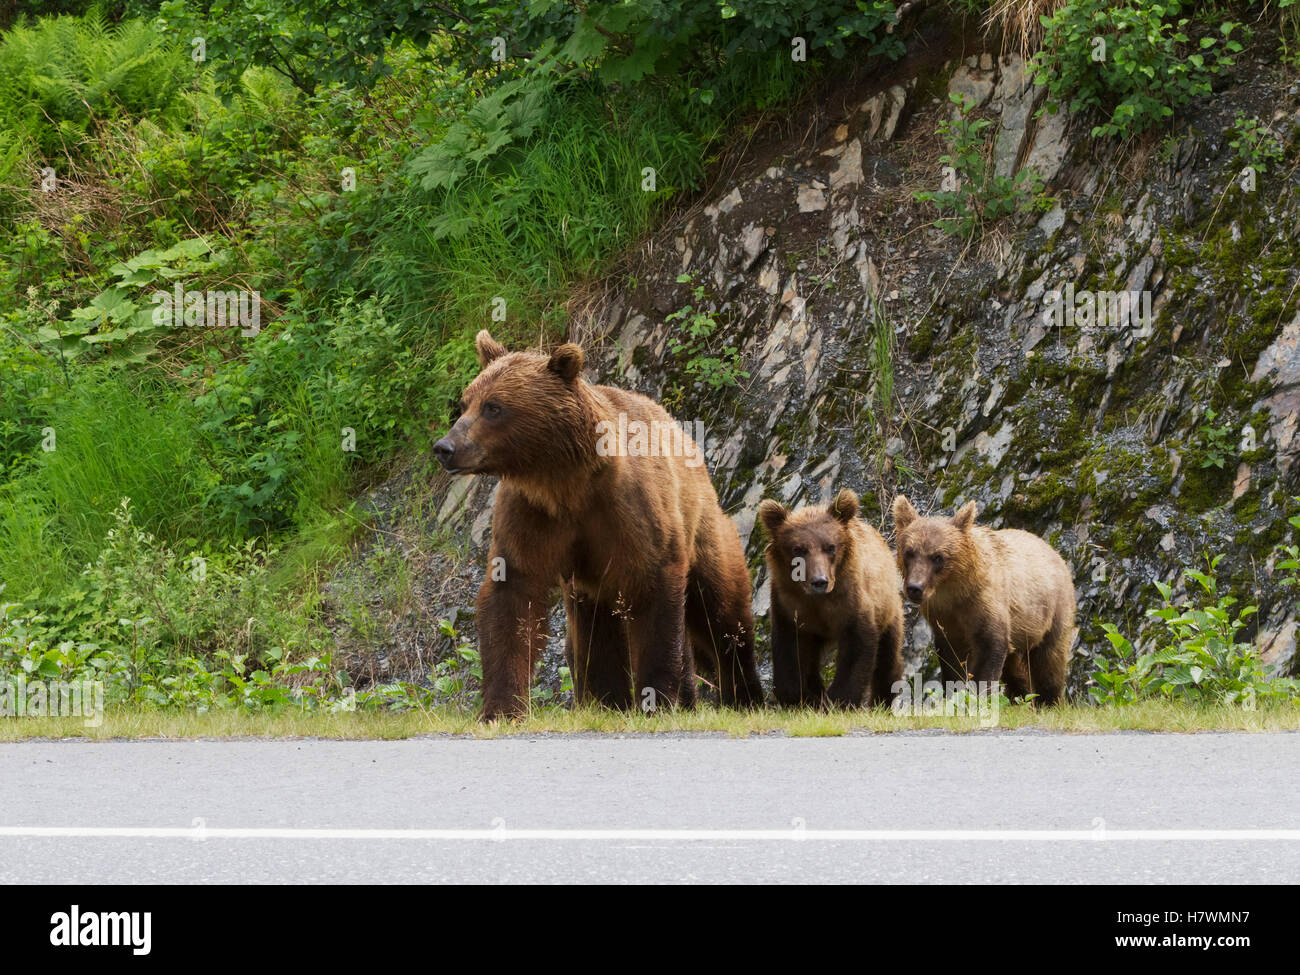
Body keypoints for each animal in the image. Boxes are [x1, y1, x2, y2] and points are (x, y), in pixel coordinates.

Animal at [433, 330, 764, 720]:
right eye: (465, 403)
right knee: (594, 630)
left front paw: (654, 700)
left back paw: (743, 696)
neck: (566, 482)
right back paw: (609, 701)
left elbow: (655, 593)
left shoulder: (629, 510)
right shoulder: (531, 515)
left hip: (702, 525)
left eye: (494, 407)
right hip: (590, 582)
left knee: (720, 610)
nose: (445, 447)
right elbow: (512, 591)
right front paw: (501, 708)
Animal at [758, 489, 904, 709]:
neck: (818, 601)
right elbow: (789, 649)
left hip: (889, 607)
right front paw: (799, 698)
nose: (820, 581)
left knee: (888, 656)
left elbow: (857, 646)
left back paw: (880, 701)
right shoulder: (789, 605)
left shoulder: (850, 601)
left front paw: (838, 700)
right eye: (798, 549)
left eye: (830, 547)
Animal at [891, 495, 1076, 706]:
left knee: (1049, 661)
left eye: (937, 557)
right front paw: (953, 694)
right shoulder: (944, 619)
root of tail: (1054, 552)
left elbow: (990, 647)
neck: (955, 591)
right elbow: (951, 659)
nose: (915, 588)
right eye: (909, 552)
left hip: (1052, 610)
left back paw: (1048, 701)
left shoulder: (985, 603)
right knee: (1015, 668)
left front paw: (977, 697)